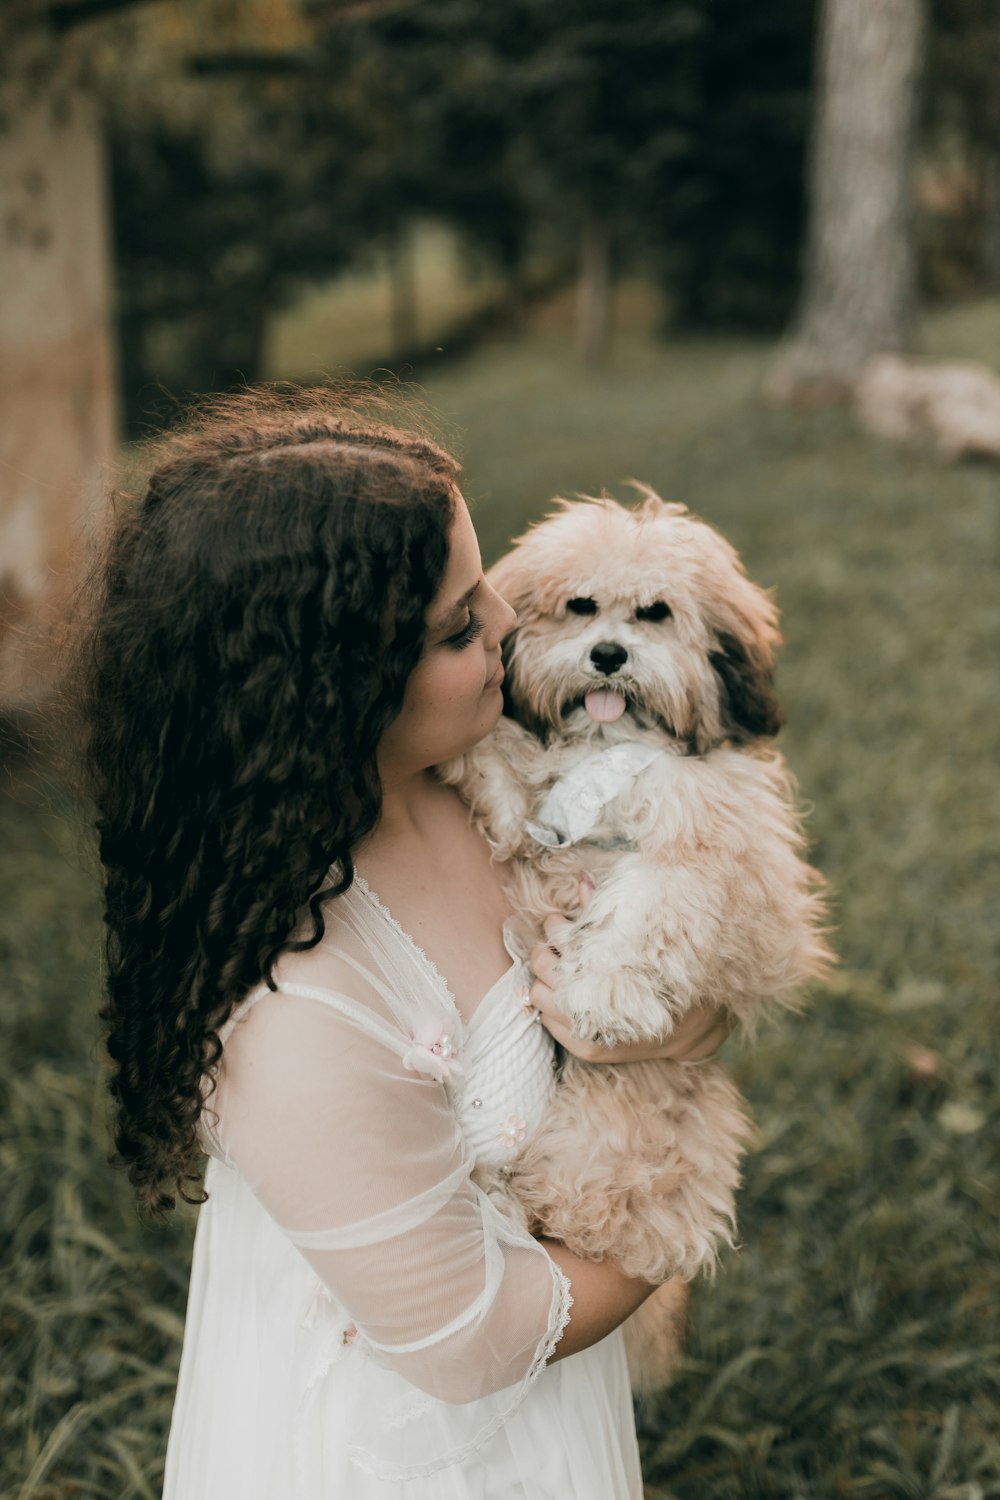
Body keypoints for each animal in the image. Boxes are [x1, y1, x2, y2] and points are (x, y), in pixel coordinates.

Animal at [440, 495, 833, 1392]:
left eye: (655, 613)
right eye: (581, 607)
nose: (609, 655)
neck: (609, 750)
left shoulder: (729, 863)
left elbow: (655, 901)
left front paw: (605, 993)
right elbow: (507, 768)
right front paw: (475, 766)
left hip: (617, 1138)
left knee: (582, 1218)